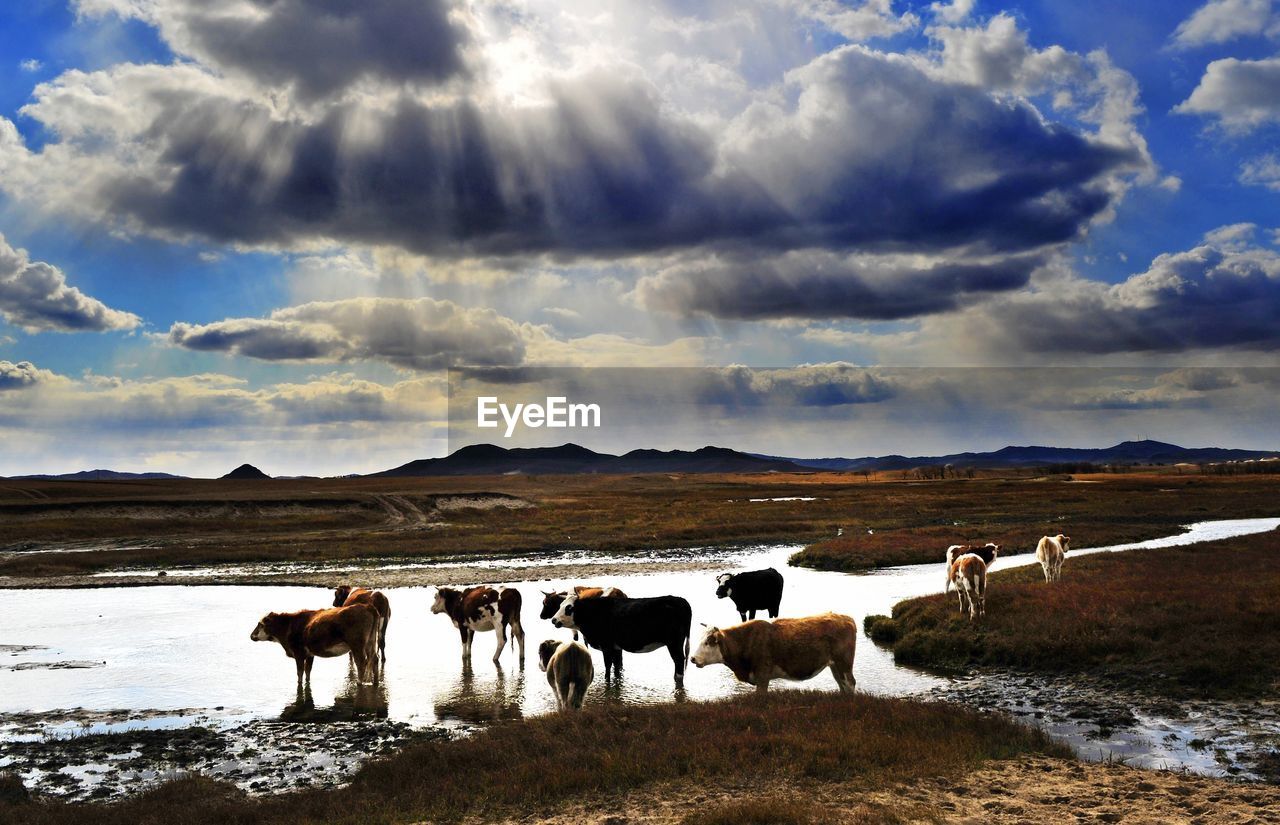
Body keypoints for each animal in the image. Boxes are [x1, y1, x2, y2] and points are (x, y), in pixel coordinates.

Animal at [249, 601, 378, 685]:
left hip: (357, 645)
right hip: (370, 642)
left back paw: (360, 682)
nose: (251, 636)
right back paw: (375, 682)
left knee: (361, 662)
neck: (289, 625)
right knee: (375, 659)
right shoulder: (310, 654)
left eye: (260, 624)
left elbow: (300, 672)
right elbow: (308, 671)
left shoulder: (298, 653)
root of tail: (367, 606)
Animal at [550, 590, 691, 680]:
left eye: (569, 608)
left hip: (674, 643)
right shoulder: (616, 648)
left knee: (679, 660)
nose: (554, 620)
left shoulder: (606, 646)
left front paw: (607, 683)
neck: (593, 612)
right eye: (560, 605)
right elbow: (616, 667)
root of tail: (680, 600)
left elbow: (608, 666)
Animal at [686, 611, 855, 695]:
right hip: (834, 665)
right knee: (842, 684)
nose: (693, 658)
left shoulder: (762, 675)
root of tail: (845, 618)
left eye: (707, 642)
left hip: (844, 663)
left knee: (850, 683)